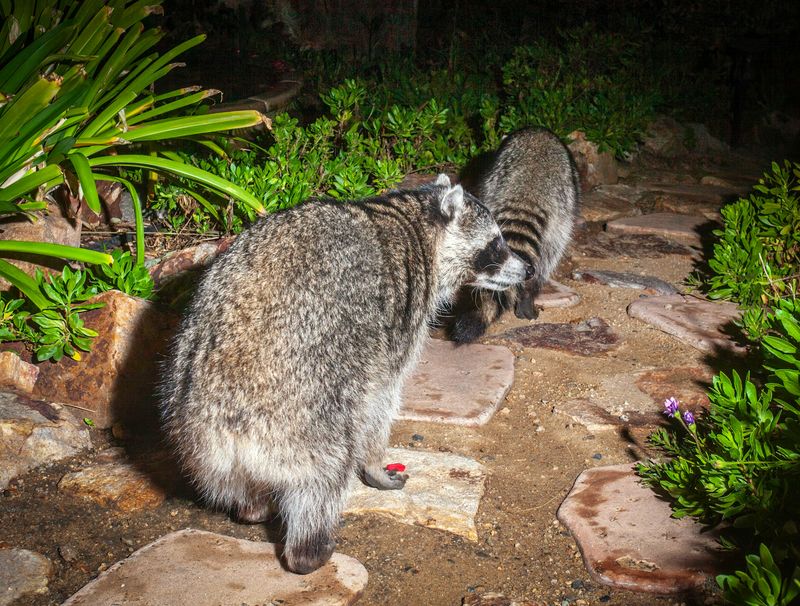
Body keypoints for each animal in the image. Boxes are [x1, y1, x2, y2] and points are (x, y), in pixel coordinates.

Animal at [160, 175, 529, 574]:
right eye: (496, 245)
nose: (527, 270)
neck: (412, 219)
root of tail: (228, 422)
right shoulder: (396, 321)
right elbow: (381, 399)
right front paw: (375, 465)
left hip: (200, 444)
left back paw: (252, 508)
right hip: (305, 422)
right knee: (325, 475)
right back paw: (309, 549)